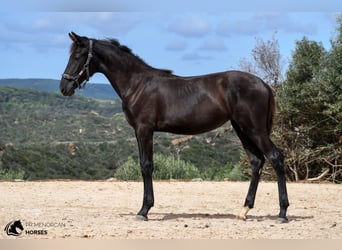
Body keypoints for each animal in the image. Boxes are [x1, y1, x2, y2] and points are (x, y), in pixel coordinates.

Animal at [59, 32, 288, 222]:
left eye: (78, 56)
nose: (64, 87)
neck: (137, 84)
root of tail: (264, 85)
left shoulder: (144, 129)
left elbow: (146, 166)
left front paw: (144, 211)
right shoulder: (138, 132)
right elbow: (144, 165)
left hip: (254, 129)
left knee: (275, 157)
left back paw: (282, 213)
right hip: (242, 129)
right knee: (256, 161)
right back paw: (244, 210)